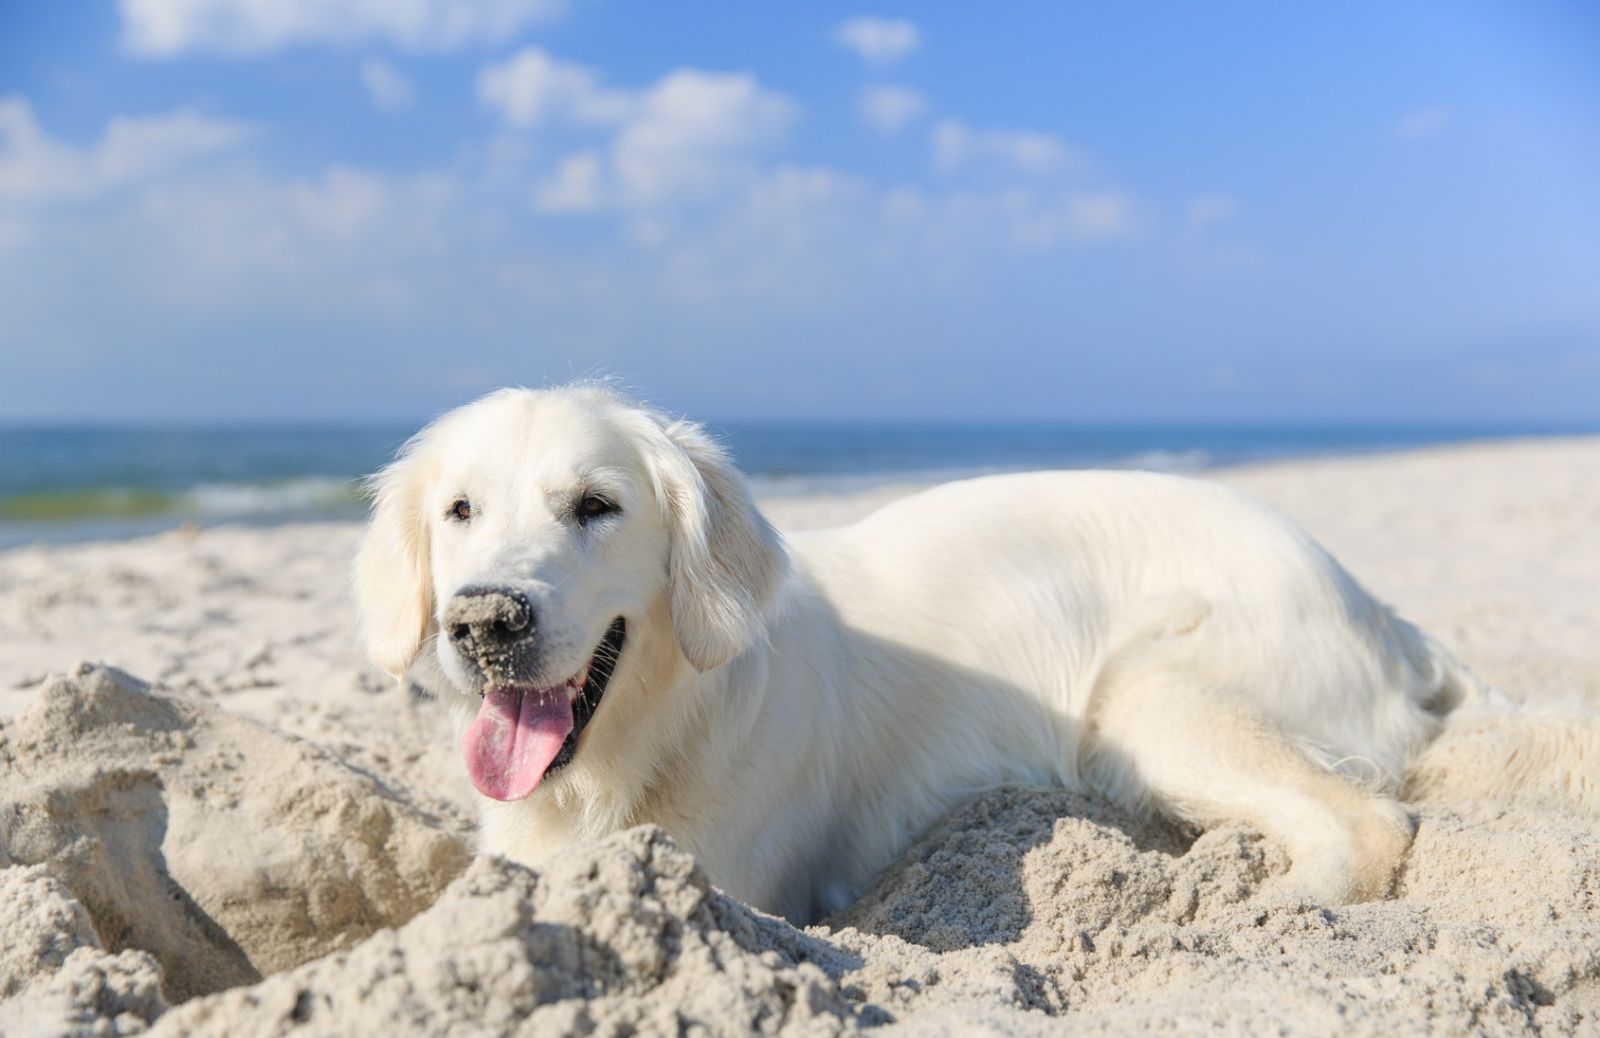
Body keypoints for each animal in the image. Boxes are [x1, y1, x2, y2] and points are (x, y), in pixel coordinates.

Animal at [347, 383, 1574, 921]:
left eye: (596, 505)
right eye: (459, 511)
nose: (484, 621)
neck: (638, 740)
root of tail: (1380, 609)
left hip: (1148, 697)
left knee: (1367, 822)